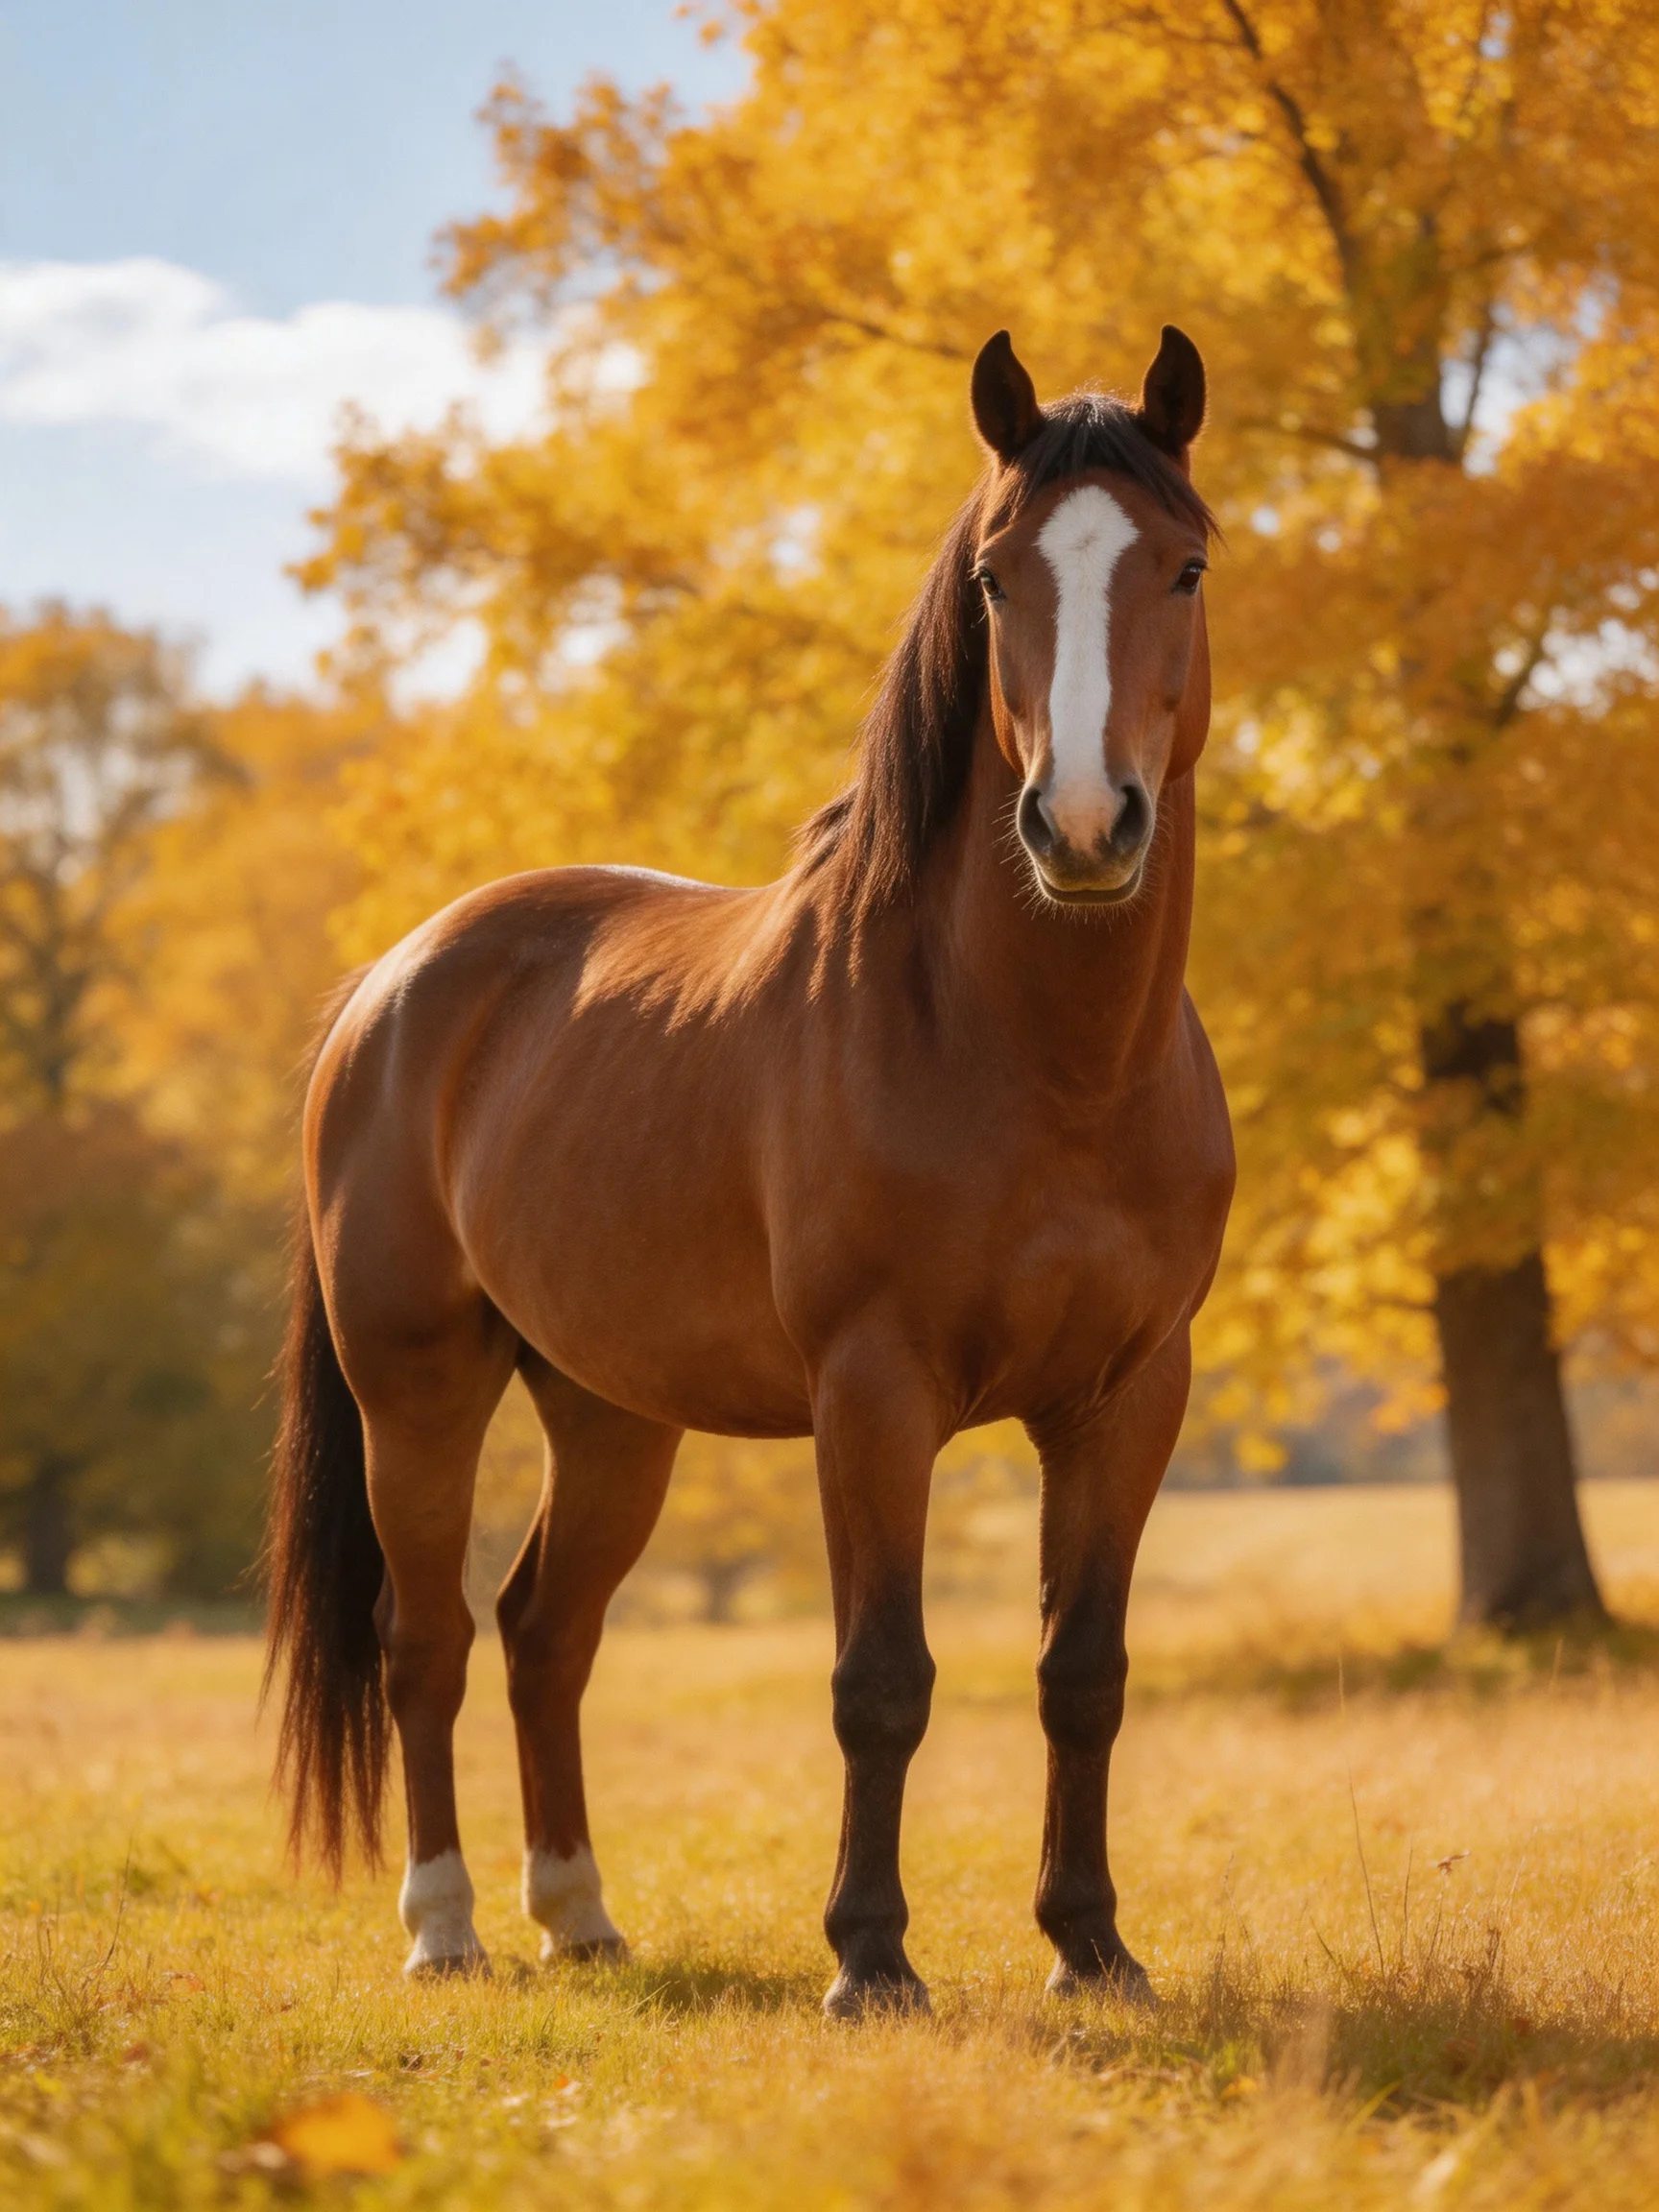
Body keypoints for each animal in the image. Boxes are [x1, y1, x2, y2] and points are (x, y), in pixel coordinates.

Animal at [264, 325, 1233, 2017]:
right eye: (997, 578)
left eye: (1182, 565)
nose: (1084, 825)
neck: (1050, 1067)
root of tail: (391, 985)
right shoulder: (875, 1394)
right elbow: (882, 1680)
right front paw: (872, 1961)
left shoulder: (1128, 1398)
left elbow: (1084, 1673)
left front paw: (1094, 1950)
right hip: (417, 1392)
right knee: (422, 1641)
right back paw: (447, 1929)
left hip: (610, 1411)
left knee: (545, 1632)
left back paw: (581, 1917)